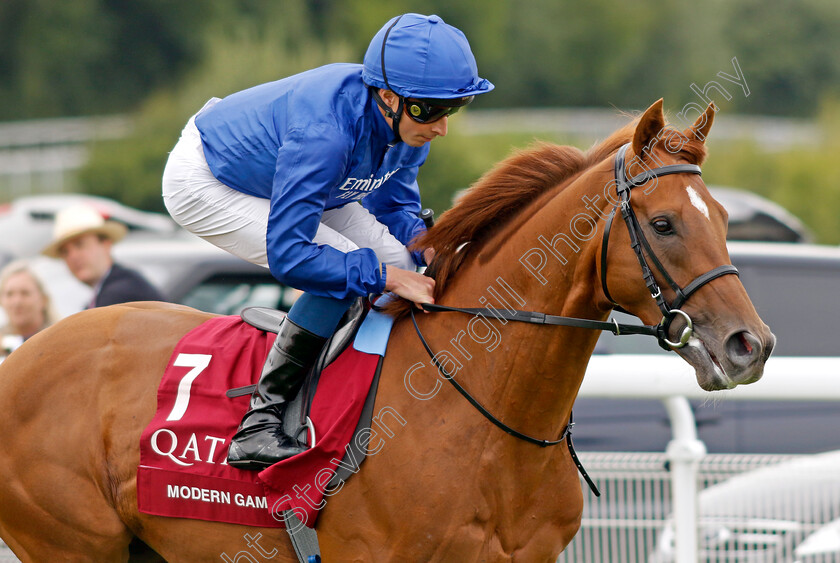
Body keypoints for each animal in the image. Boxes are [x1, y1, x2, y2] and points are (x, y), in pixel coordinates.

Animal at [0, 101, 776, 563]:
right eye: (665, 223)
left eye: (724, 219)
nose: (751, 344)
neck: (486, 419)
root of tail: (21, 359)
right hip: (72, 543)